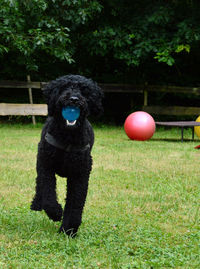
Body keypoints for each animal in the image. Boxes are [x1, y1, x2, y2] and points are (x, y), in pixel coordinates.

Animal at [31, 74, 103, 236]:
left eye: (84, 90)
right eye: (64, 88)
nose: (74, 99)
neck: (67, 138)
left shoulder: (80, 175)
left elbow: (75, 203)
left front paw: (69, 229)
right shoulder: (46, 166)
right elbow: (48, 192)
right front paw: (55, 212)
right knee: (39, 183)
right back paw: (37, 203)